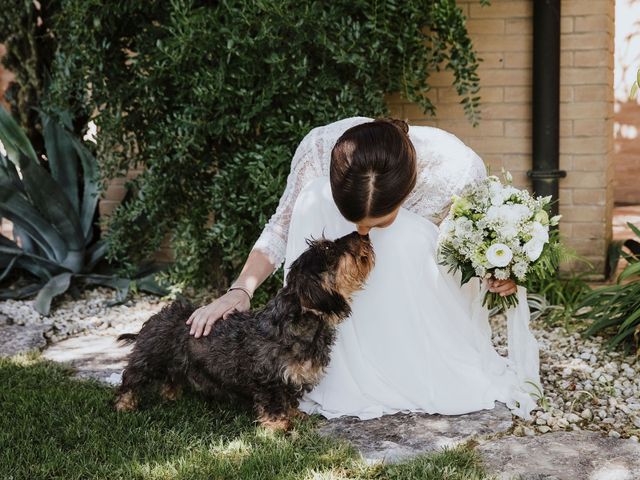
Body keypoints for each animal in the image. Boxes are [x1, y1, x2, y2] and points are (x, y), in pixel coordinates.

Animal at [114, 231, 376, 430]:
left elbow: (290, 400)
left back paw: (171, 396)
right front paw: (278, 427)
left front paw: (295, 416)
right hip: (149, 361)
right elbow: (274, 403)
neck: (295, 325)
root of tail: (156, 316)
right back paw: (124, 406)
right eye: (329, 249)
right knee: (130, 381)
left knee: (170, 379)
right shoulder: (269, 380)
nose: (361, 233)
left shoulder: (291, 380)